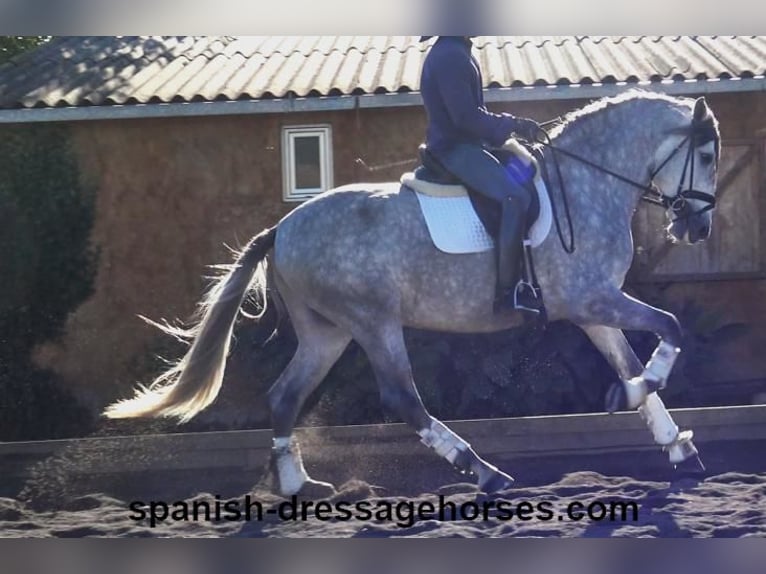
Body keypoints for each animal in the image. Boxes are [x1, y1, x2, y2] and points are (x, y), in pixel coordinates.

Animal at [105, 92, 724, 498]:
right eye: (708, 156)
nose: (697, 227)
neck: (587, 182)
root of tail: (282, 229)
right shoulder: (590, 299)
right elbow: (670, 330)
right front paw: (635, 400)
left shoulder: (595, 307)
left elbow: (631, 363)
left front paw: (677, 446)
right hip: (373, 322)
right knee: (402, 399)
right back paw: (484, 472)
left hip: (328, 331)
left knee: (284, 395)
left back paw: (300, 485)